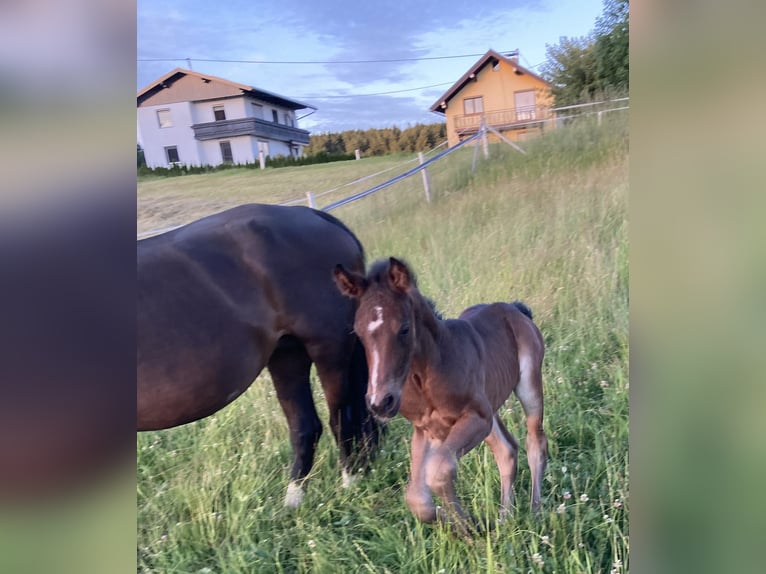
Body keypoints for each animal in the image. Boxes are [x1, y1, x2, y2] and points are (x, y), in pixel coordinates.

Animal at [138, 204, 380, 508]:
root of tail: (313, 215)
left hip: (329, 348)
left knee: (342, 417)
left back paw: (349, 482)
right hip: (287, 355)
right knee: (305, 427)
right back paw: (293, 501)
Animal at [334, 258, 544, 532]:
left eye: (404, 329)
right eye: (358, 333)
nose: (380, 402)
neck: (425, 376)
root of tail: (515, 308)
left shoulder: (476, 418)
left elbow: (438, 470)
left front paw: (469, 526)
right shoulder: (426, 430)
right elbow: (416, 497)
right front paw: (459, 524)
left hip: (527, 385)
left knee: (535, 442)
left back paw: (536, 512)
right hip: (490, 409)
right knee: (506, 450)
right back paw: (504, 518)